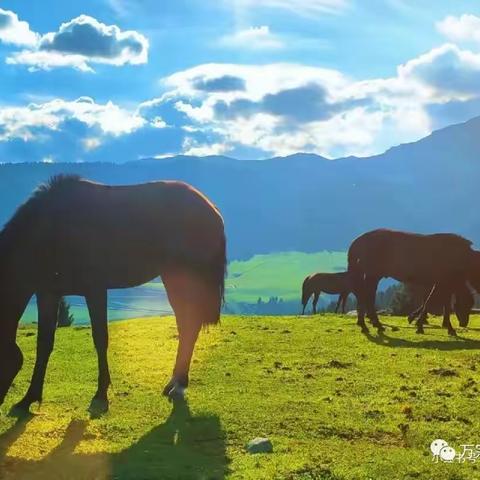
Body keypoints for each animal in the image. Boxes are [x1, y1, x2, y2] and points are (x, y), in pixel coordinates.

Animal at [0, 176, 227, 416]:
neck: (50, 230)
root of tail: (212, 209)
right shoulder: (48, 293)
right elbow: (44, 344)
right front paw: (29, 398)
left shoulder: (95, 290)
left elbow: (100, 339)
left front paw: (101, 394)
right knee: (187, 326)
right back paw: (174, 382)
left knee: (189, 326)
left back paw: (179, 384)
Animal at [346, 228, 480, 334]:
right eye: (466, 305)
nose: (464, 324)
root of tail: (360, 239)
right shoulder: (442, 282)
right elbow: (430, 301)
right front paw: (419, 324)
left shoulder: (442, 283)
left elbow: (439, 303)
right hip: (372, 275)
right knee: (367, 296)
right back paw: (373, 324)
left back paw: (367, 323)